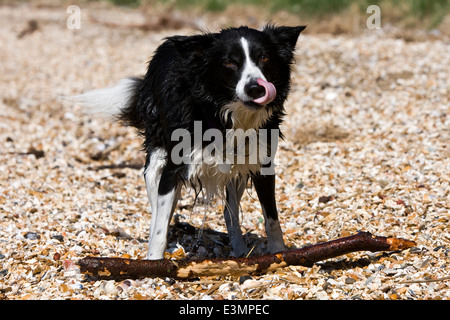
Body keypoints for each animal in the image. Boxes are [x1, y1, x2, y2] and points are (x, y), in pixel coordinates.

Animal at [77, 25, 308, 260]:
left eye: (264, 57)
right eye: (229, 62)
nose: (255, 88)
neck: (225, 115)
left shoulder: (262, 162)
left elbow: (271, 217)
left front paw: (279, 252)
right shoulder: (173, 166)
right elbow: (160, 224)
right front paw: (154, 261)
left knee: (230, 210)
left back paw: (240, 249)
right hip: (155, 156)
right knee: (156, 208)